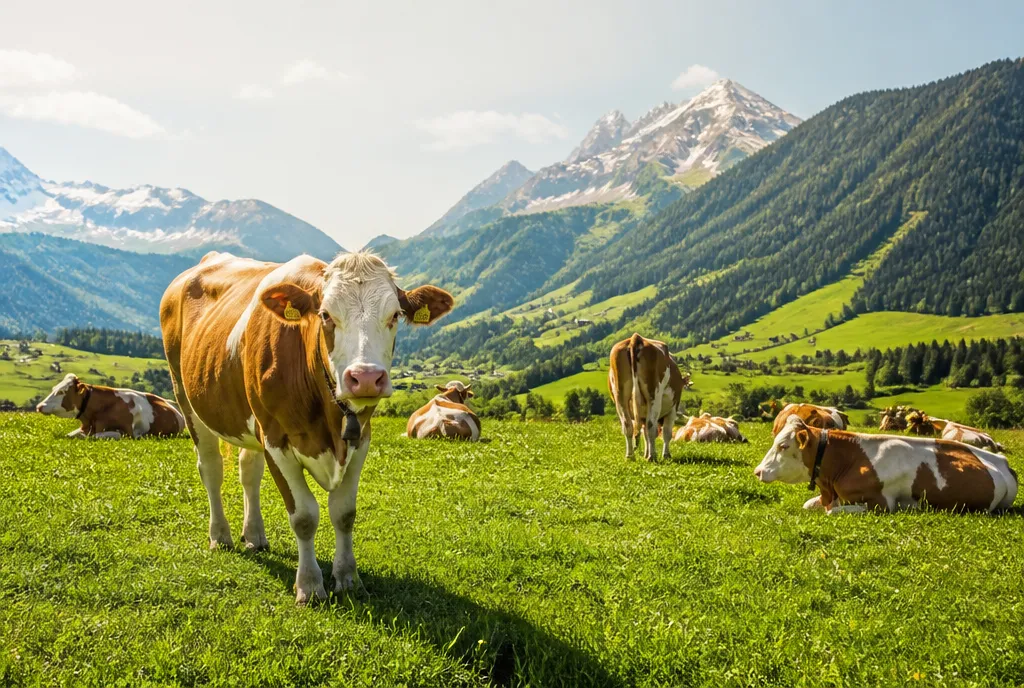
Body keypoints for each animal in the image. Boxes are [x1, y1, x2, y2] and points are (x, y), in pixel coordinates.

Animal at [36, 373, 185, 439]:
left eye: (62, 391)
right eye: (54, 388)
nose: (39, 406)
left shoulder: (126, 433)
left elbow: (94, 437)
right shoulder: (85, 428)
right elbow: (70, 435)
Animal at [160, 250, 453, 604]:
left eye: (395, 314)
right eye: (325, 315)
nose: (366, 377)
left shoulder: (360, 440)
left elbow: (344, 513)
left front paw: (347, 578)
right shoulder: (276, 439)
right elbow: (304, 516)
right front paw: (310, 586)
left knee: (248, 471)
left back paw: (254, 534)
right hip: (186, 397)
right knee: (211, 469)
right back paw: (221, 536)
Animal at [754, 415, 1017, 514]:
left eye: (783, 446)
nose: (757, 471)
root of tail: (1003, 462)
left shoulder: (881, 504)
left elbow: (832, 512)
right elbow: (809, 505)